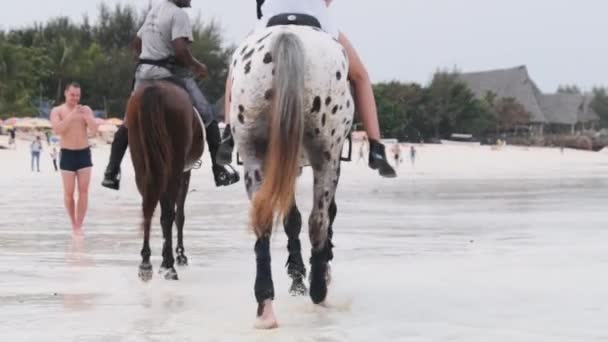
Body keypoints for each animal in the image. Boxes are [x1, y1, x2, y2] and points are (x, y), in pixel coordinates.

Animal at [124, 80, 204, 280]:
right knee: (169, 214)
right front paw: (179, 255)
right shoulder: (185, 173)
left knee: (148, 207)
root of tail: (155, 89)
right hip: (174, 166)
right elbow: (179, 214)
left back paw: (146, 262)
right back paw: (169, 265)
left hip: (143, 162)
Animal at [227, 25, 352, 328]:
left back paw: (265, 306)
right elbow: (315, 217)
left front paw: (297, 276)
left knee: (263, 220)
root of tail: (286, 36)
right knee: (319, 220)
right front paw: (311, 272)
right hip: (326, 154)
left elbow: (290, 218)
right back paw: (319, 289)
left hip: (254, 154)